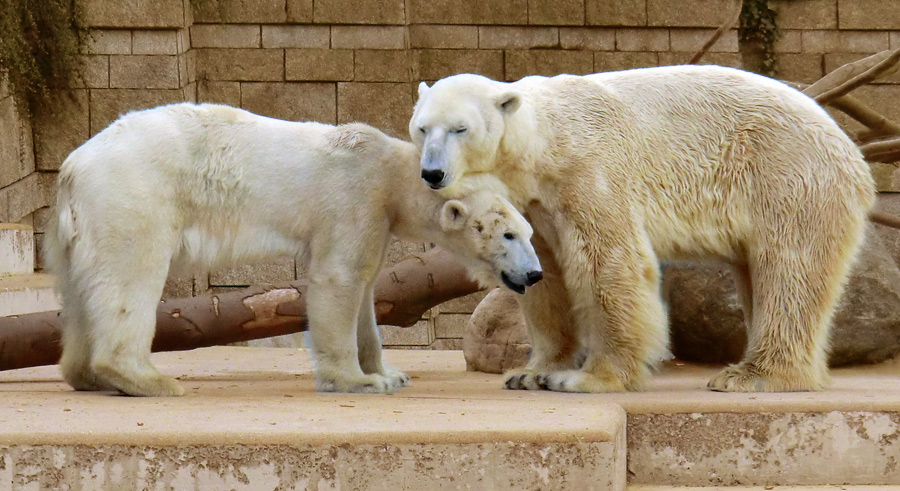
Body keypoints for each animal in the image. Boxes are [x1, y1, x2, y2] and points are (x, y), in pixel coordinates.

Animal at [45, 102, 540, 398]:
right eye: (509, 236)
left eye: (529, 231)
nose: (534, 274)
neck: (393, 171)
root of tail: (72, 166)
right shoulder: (355, 195)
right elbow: (338, 278)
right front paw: (357, 380)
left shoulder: (376, 216)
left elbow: (365, 286)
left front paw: (390, 373)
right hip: (133, 196)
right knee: (131, 276)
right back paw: (149, 379)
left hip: (76, 227)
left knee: (79, 291)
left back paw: (84, 373)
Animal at [412, 66, 876, 396]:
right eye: (422, 128)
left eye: (460, 128)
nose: (431, 173)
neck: (543, 142)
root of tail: (851, 150)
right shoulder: (536, 202)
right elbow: (548, 278)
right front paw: (531, 372)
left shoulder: (589, 171)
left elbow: (608, 262)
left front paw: (588, 378)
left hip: (788, 176)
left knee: (788, 269)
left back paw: (754, 375)